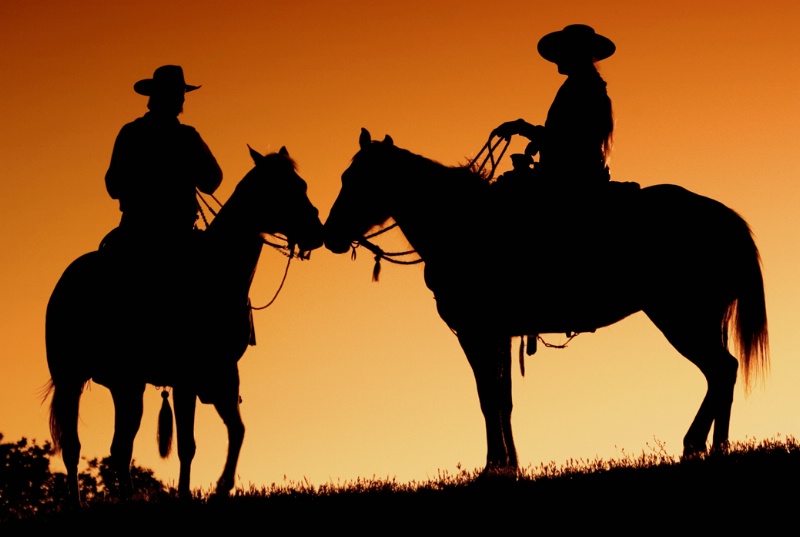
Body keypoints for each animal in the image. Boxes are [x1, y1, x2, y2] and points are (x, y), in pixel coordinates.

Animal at [45, 144, 322, 500]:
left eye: (301, 184)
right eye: (285, 188)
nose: (317, 231)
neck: (216, 273)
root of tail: (63, 285)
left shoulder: (223, 374)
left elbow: (237, 429)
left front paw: (222, 487)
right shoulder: (187, 378)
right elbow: (187, 444)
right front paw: (187, 494)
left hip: (126, 384)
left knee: (120, 447)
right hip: (70, 378)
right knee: (73, 447)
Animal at [324, 130, 768, 474]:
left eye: (360, 179)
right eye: (345, 176)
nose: (329, 235)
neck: (461, 225)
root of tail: (726, 219)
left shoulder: (475, 331)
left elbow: (487, 397)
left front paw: (492, 466)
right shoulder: (500, 333)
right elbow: (503, 399)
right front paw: (511, 465)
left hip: (682, 318)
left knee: (721, 370)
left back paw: (695, 445)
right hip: (703, 318)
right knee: (723, 373)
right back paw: (716, 447)